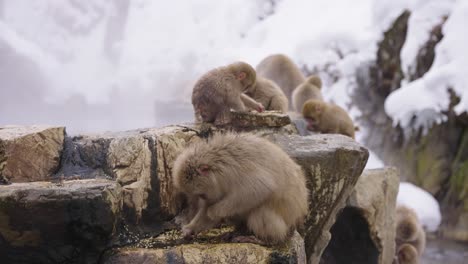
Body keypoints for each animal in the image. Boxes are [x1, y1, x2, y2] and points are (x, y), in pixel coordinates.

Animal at [173, 133, 310, 244]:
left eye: (202, 195)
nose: (205, 198)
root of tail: (295, 221)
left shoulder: (237, 171)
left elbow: (260, 188)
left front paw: (214, 211)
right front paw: (190, 229)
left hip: (285, 228)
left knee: (260, 209)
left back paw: (265, 240)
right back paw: (238, 231)